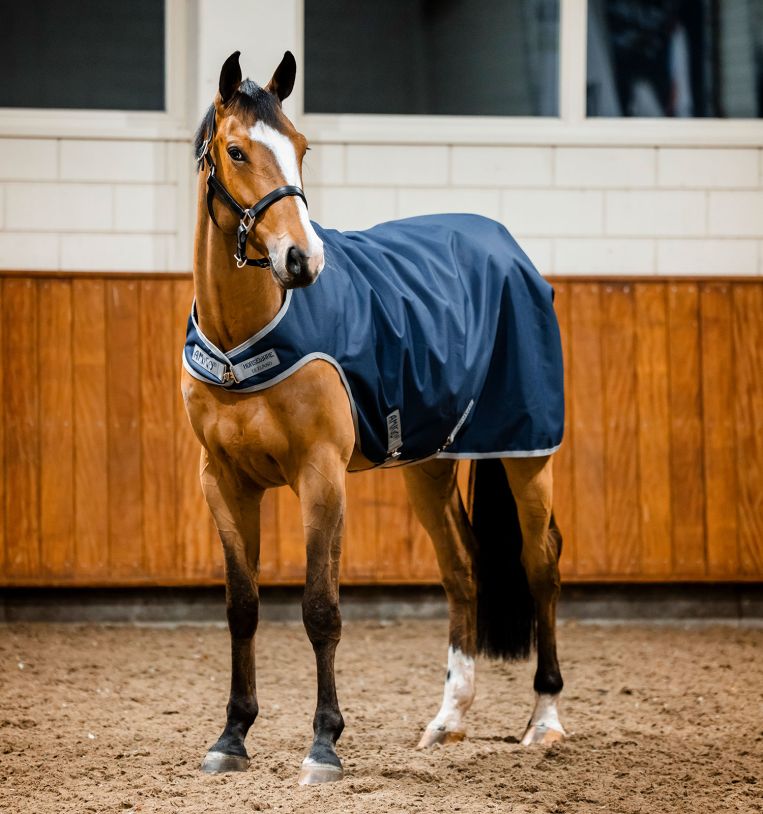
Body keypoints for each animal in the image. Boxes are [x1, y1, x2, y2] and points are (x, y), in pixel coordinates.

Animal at [182, 50, 566, 785]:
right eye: (237, 151)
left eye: (302, 147)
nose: (302, 260)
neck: (245, 336)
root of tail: (508, 248)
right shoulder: (224, 481)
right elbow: (242, 608)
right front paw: (230, 737)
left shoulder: (321, 477)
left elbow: (320, 609)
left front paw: (323, 746)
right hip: (431, 465)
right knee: (463, 569)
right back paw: (447, 720)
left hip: (525, 454)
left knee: (541, 565)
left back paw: (545, 720)